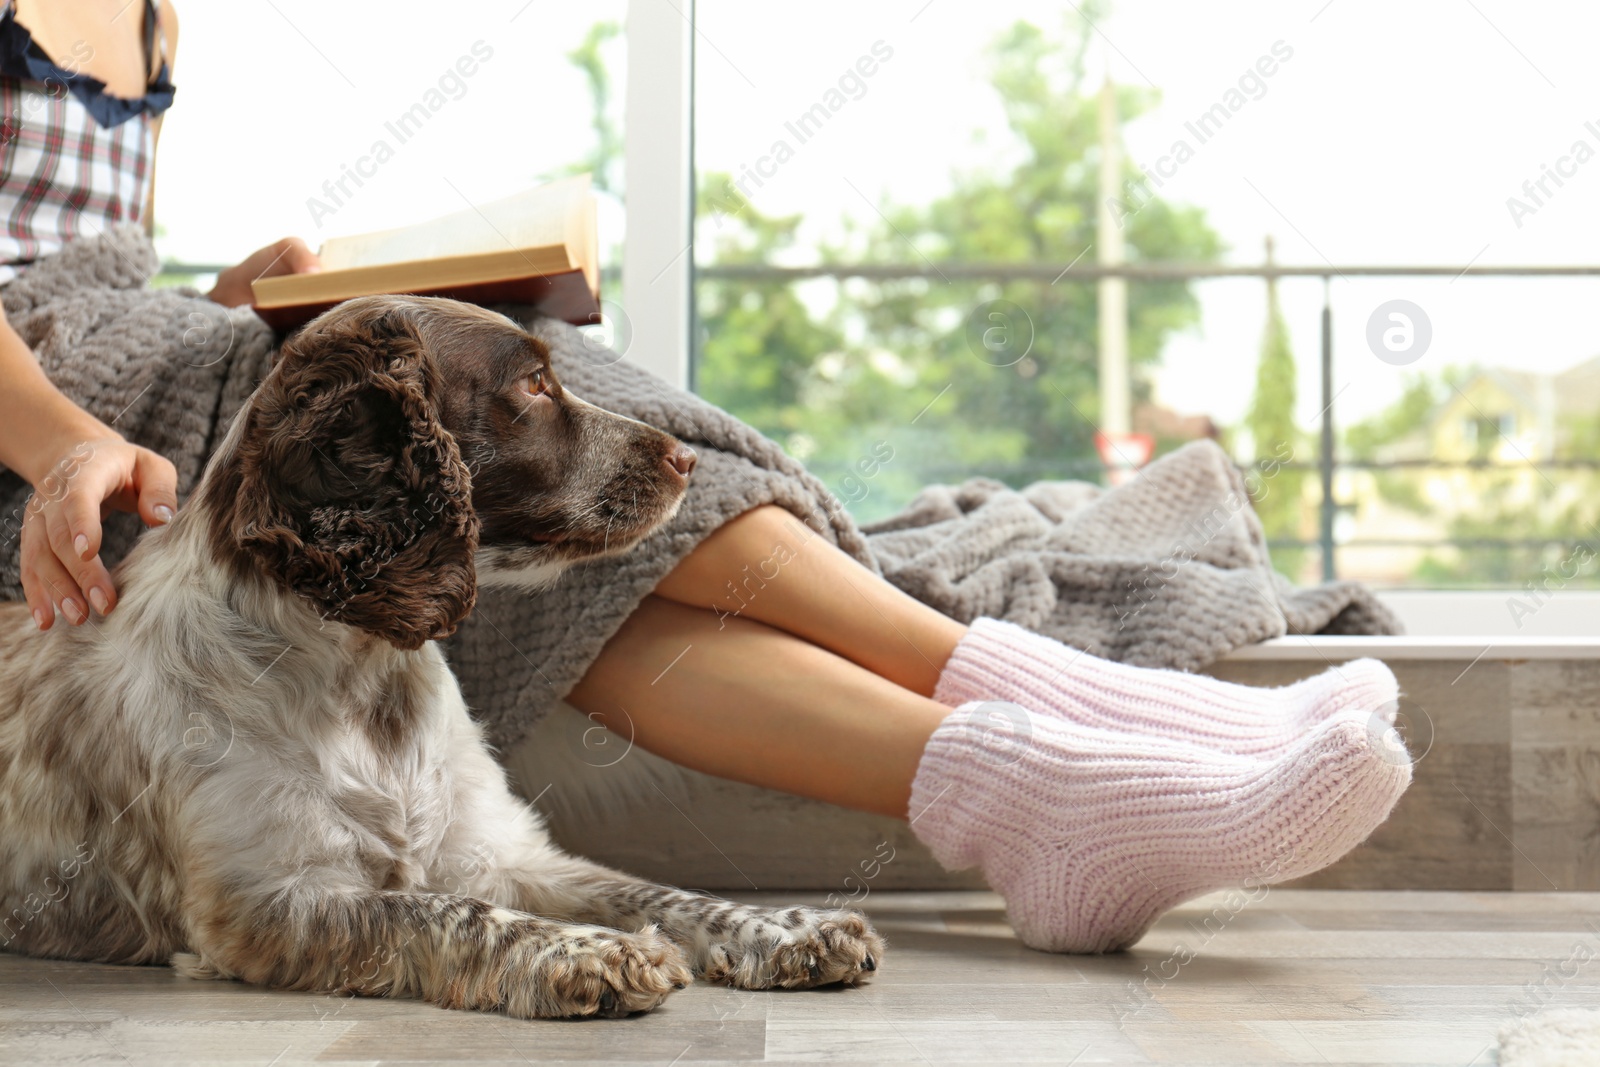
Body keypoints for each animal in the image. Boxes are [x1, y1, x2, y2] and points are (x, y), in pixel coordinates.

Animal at [0, 294, 889, 1017]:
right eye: (533, 386)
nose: (687, 458)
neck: (367, 673)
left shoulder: (499, 851)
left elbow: (659, 890)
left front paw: (788, 926)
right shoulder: (275, 896)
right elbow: (448, 912)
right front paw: (590, 951)